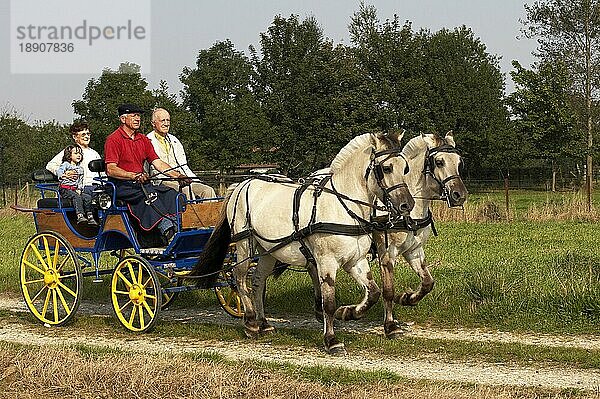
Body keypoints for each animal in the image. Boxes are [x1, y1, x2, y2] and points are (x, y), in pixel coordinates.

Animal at [190, 131, 414, 356]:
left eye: (405, 168)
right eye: (386, 168)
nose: (408, 205)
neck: (343, 206)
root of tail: (242, 184)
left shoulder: (355, 260)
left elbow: (374, 292)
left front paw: (348, 312)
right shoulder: (326, 262)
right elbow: (329, 302)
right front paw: (331, 340)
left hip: (268, 250)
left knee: (258, 281)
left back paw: (264, 323)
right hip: (245, 244)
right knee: (240, 279)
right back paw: (251, 323)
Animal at [376, 133, 468, 340]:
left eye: (459, 162)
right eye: (439, 162)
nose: (460, 195)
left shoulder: (414, 250)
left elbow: (427, 283)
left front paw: (407, 298)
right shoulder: (387, 254)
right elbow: (388, 290)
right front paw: (390, 326)